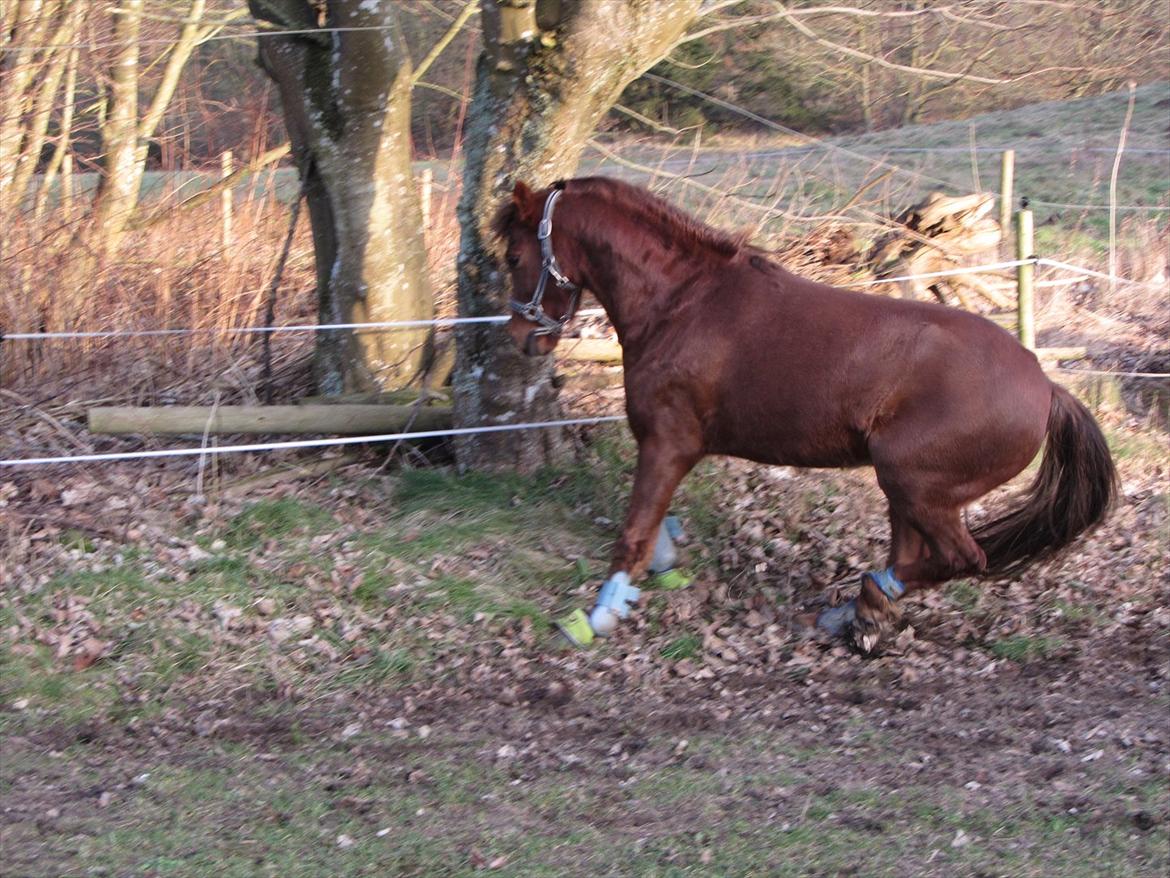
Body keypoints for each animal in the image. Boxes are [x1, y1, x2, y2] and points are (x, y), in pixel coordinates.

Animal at [493, 176, 1117, 651]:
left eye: (514, 255)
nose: (521, 337)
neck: (682, 304)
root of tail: (1045, 385)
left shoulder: (668, 443)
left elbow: (633, 534)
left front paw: (598, 616)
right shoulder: (669, 449)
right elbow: (656, 529)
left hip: (914, 484)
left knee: (963, 559)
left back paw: (861, 601)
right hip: (909, 491)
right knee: (913, 556)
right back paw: (860, 614)